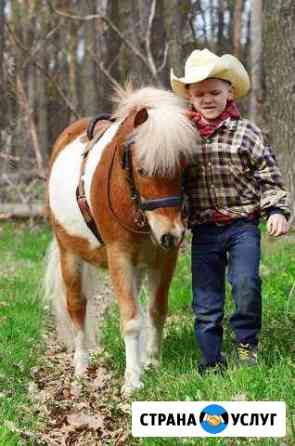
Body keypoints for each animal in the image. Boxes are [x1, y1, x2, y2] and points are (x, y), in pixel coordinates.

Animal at [44, 86, 200, 394]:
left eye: (184, 166)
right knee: (76, 305)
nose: (171, 234)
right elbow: (130, 320)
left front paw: (151, 362)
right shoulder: (119, 257)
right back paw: (81, 366)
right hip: (69, 253)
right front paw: (132, 380)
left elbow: (154, 311)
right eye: (141, 170)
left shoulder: (164, 258)